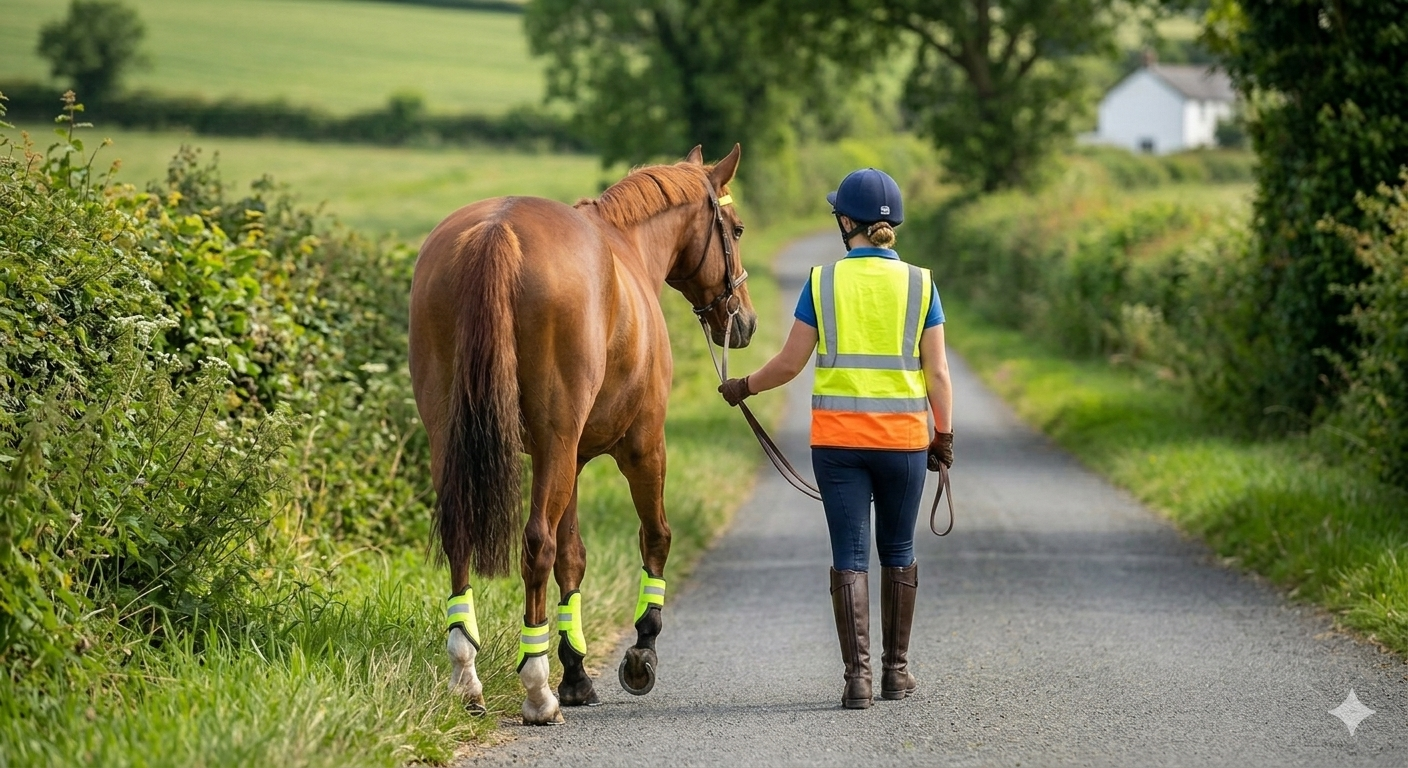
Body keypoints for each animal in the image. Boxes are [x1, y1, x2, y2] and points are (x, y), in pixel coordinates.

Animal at [408, 145, 757, 725]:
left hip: (454, 438)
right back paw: (536, 689)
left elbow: (573, 558)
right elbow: (654, 536)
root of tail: (495, 232)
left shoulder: (570, 456)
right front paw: (640, 652)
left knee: (464, 534)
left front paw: (575, 672)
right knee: (535, 546)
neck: (627, 249)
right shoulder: (642, 446)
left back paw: (467, 678)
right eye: (735, 228)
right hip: (560, 440)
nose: (743, 322)